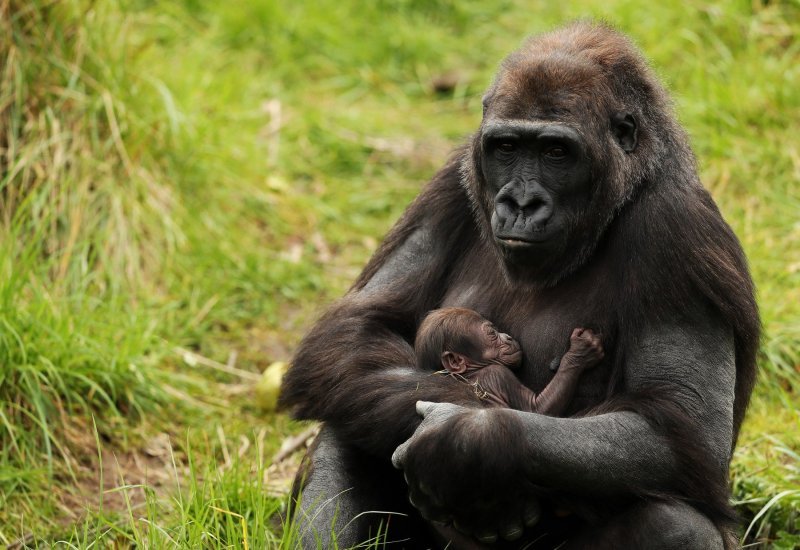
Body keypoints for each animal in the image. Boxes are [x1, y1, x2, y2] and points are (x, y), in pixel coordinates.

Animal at [416, 308, 604, 416]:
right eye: (492, 333)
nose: (508, 337)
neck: (470, 371)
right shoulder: (498, 375)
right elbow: (536, 408)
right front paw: (580, 352)